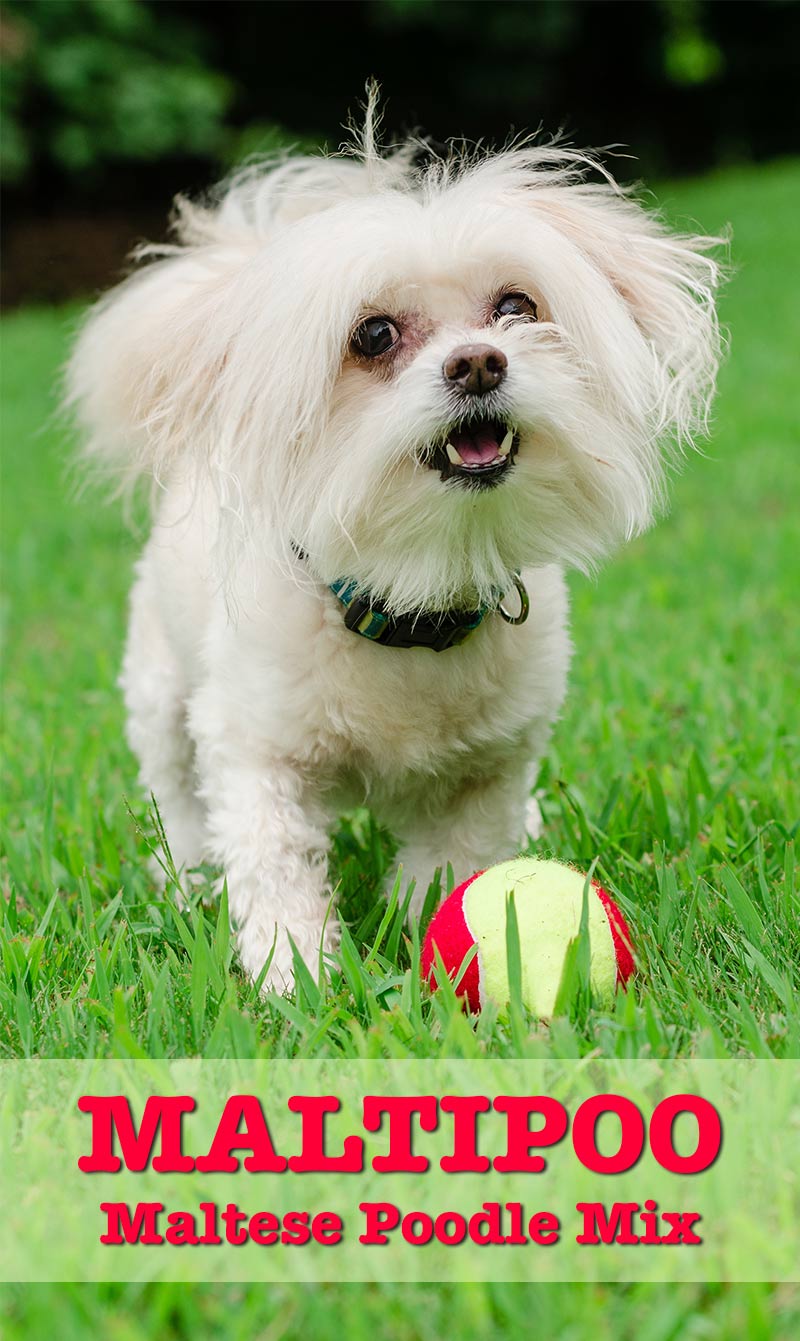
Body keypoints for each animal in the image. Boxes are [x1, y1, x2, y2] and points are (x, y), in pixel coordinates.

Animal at [67, 99, 718, 992]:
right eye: (373, 334)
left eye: (517, 307)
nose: (478, 362)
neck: (413, 591)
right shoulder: (256, 748)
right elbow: (273, 858)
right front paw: (294, 973)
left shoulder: (491, 762)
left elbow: (454, 858)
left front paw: (420, 927)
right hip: (161, 688)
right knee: (177, 792)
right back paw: (186, 875)